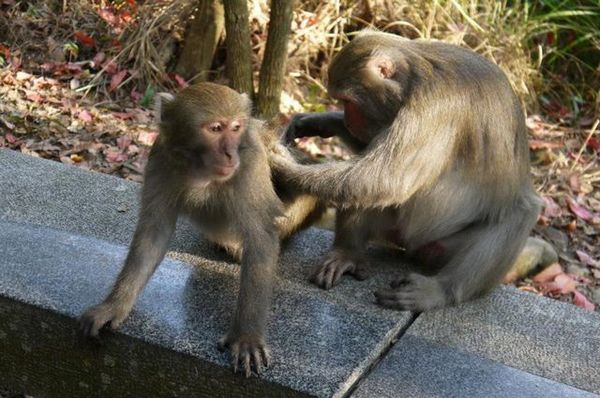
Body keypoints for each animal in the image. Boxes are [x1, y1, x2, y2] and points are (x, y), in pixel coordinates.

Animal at [81, 81, 324, 376]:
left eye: (236, 128)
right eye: (215, 128)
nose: (230, 153)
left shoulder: (250, 160)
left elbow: (260, 236)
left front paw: (247, 336)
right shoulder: (161, 157)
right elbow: (154, 232)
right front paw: (114, 306)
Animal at [272, 31, 544, 310]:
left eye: (347, 101)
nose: (347, 119)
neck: (415, 76)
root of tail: (410, 246)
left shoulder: (433, 108)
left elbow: (389, 179)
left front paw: (284, 166)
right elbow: (373, 160)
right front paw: (319, 122)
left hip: (443, 246)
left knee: (519, 213)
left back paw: (440, 290)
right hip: (392, 228)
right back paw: (347, 252)